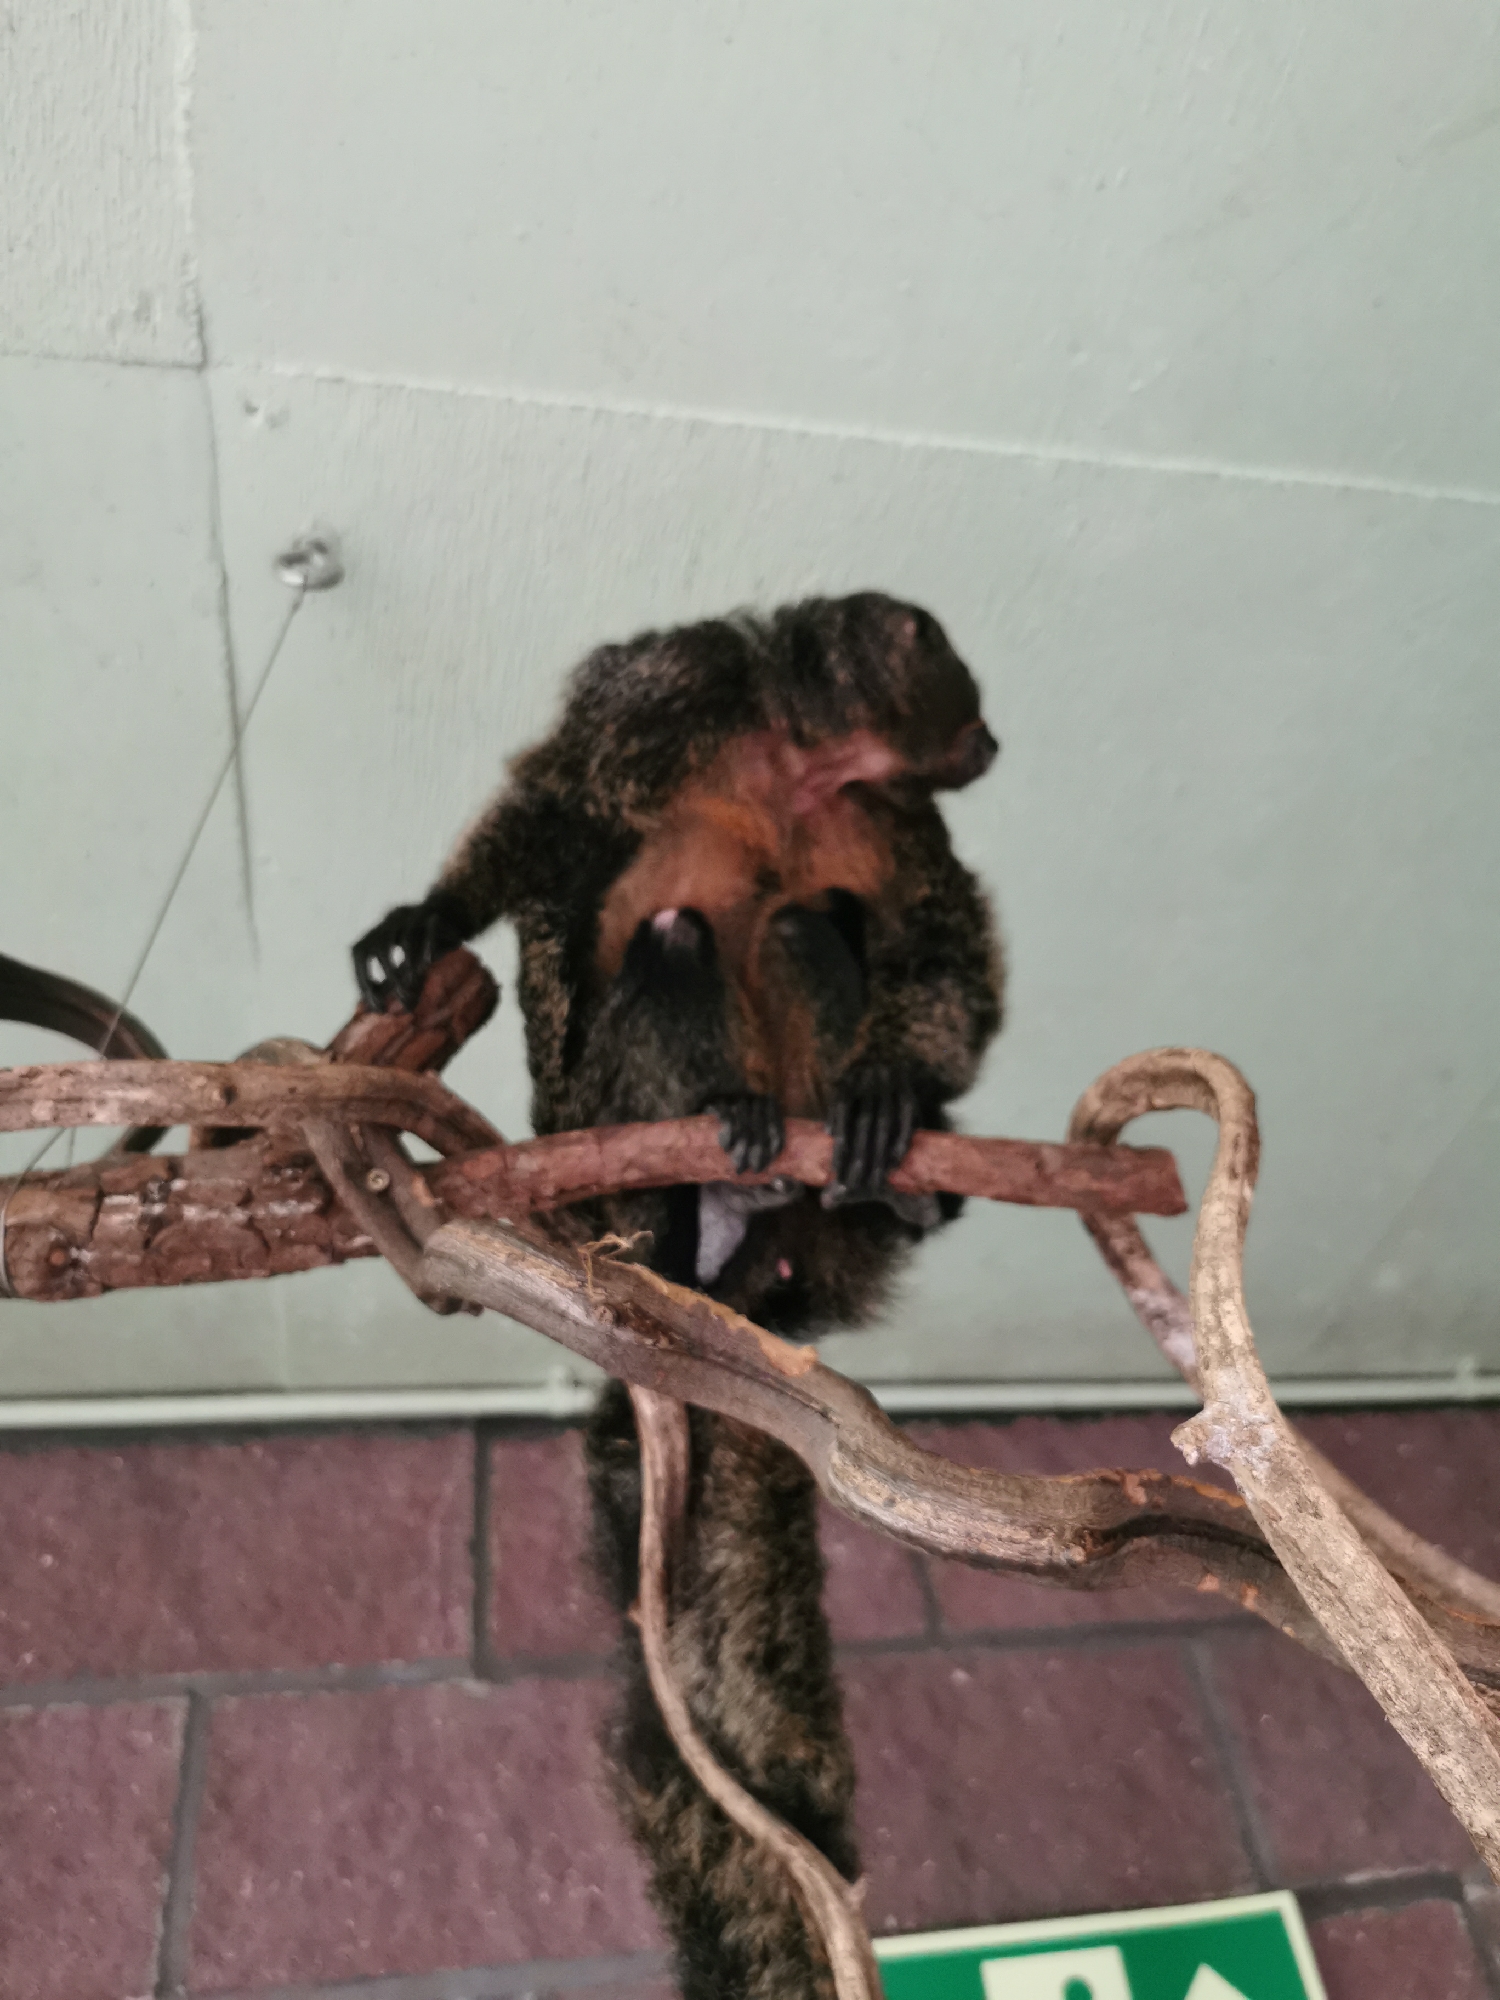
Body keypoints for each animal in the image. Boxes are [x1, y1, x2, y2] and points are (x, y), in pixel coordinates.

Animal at [353, 592, 1003, 1999]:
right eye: (971, 702)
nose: (992, 740)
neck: (803, 763)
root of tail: (750, 1274)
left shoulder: (901, 820)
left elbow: (951, 957)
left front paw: (903, 1088)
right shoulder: (668, 686)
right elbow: (557, 810)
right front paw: (430, 915)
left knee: (819, 922)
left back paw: (877, 1159)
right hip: (606, 1135)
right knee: (683, 940)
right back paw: (717, 1149)